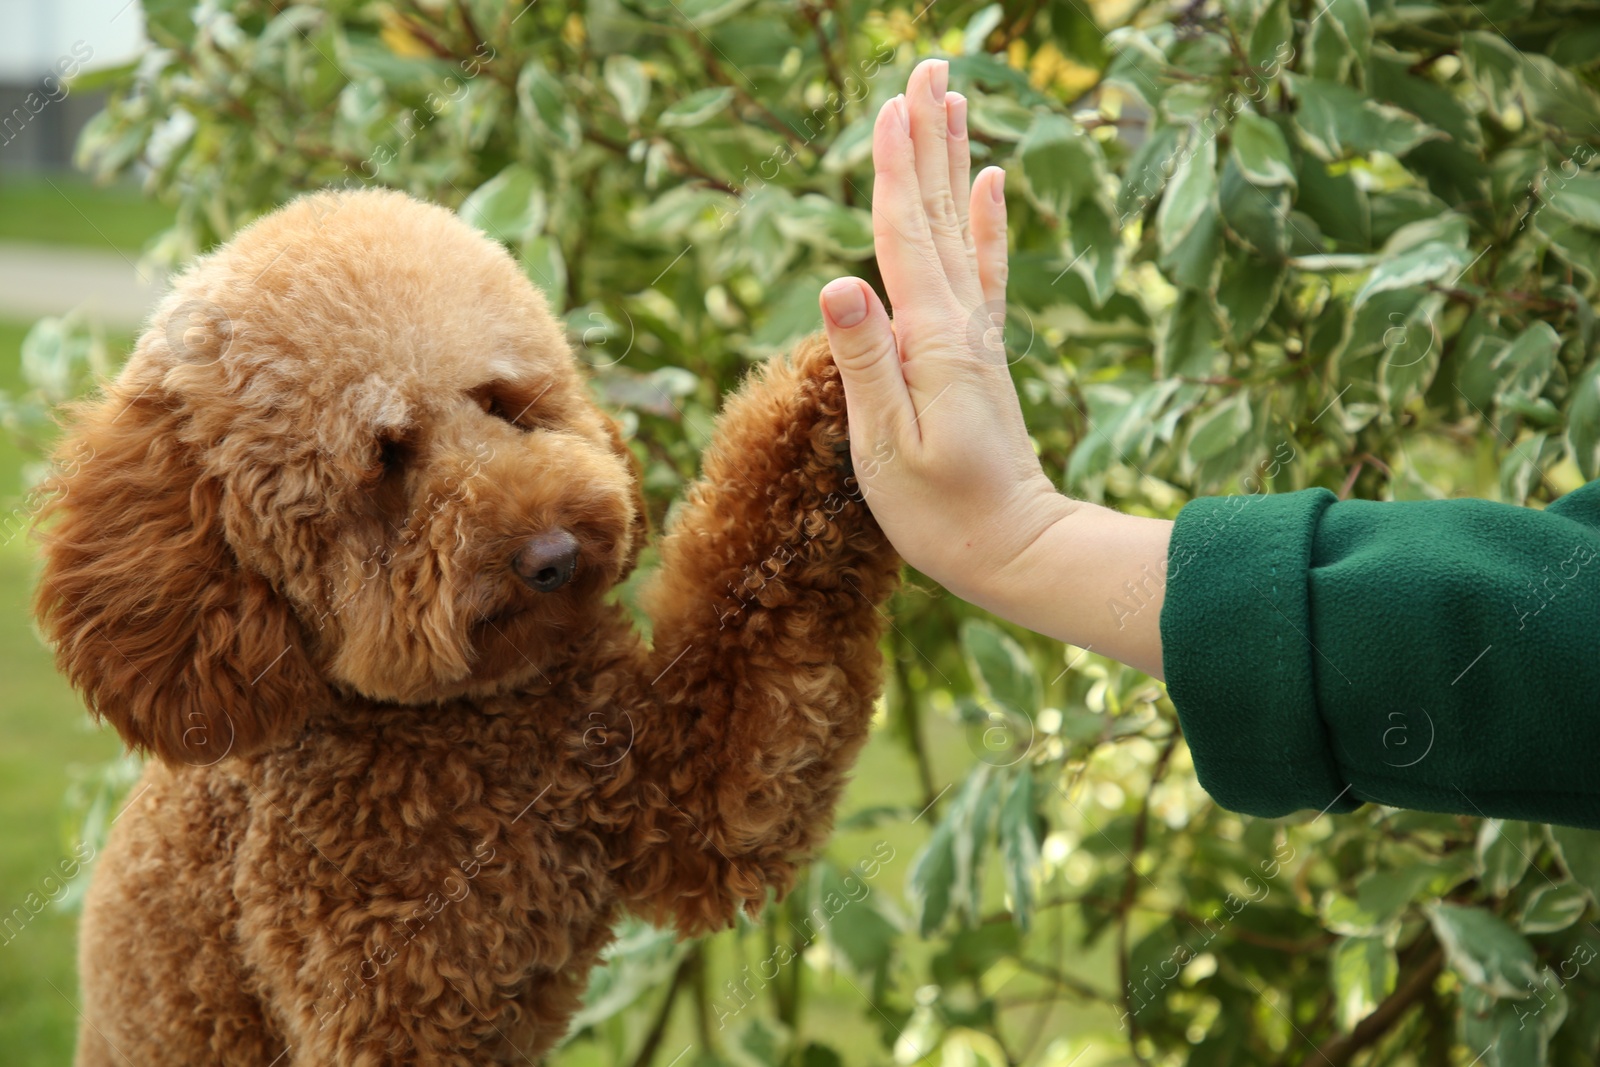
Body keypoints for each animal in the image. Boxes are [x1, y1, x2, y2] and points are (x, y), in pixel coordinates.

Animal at [34, 187, 902, 1062]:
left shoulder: (674, 782)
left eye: (500, 402)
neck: (474, 730)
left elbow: (765, 686)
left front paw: (837, 402)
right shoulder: (390, 1008)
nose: (554, 555)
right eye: (387, 457)